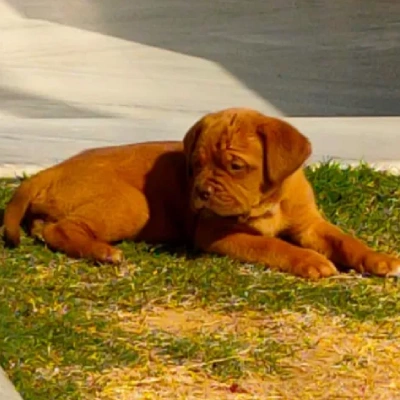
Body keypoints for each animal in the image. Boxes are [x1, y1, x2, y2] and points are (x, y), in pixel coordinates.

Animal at [3, 108, 400, 280]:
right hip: (134, 205)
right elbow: (272, 244)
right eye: (196, 163)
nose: (202, 192)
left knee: (46, 228)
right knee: (61, 229)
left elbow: (344, 240)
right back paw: (102, 252)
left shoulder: (310, 225)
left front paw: (379, 259)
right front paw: (308, 261)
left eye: (235, 166)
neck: (268, 201)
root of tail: (48, 171)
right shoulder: (216, 233)